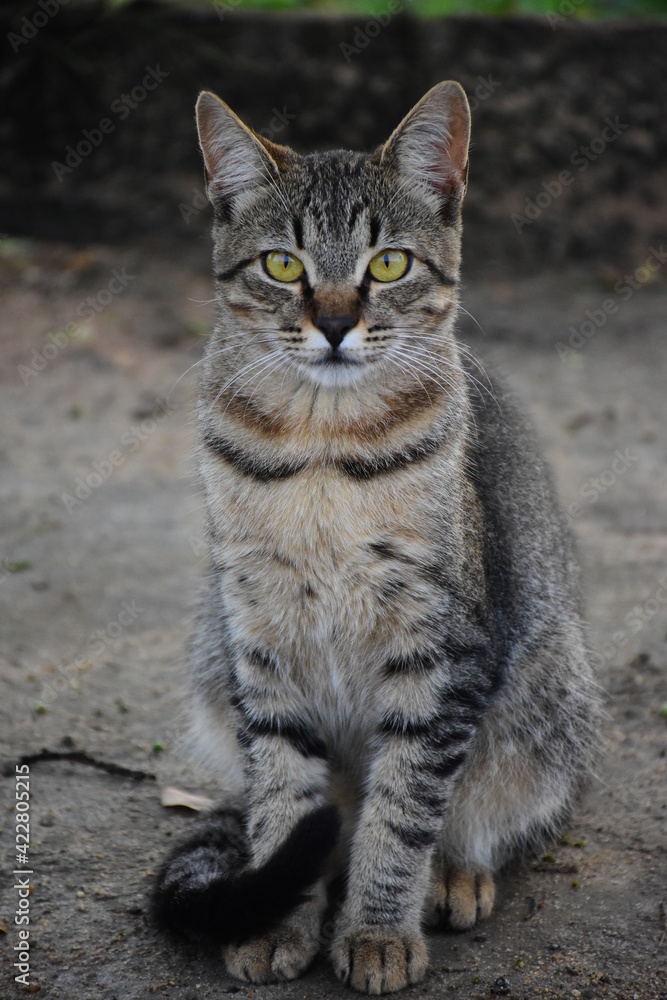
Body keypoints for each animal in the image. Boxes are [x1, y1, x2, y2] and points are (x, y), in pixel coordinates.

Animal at [154, 82, 604, 996]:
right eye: (282, 265)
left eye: (388, 264)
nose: (332, 324)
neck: (320, 447)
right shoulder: (259, 640)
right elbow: (282, 796)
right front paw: (276, 919)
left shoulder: (442, 652)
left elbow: (401, 812)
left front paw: (376, 930)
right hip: (214, 651)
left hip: (546, 705)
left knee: (474, 813)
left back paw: (454, 875)